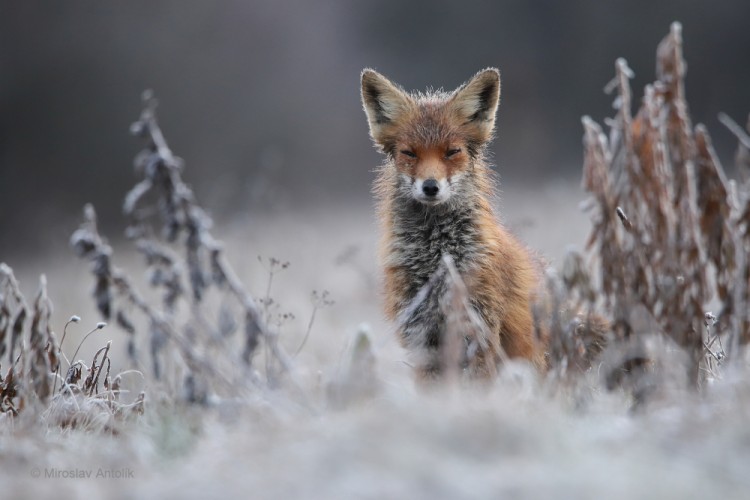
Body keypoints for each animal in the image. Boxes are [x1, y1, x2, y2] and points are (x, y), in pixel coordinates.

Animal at [362, 66, 548, 378]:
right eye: (409, 153)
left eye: (452, 152)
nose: (430, 187)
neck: (437, 254)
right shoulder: (422, 337)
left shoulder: (478, 332)